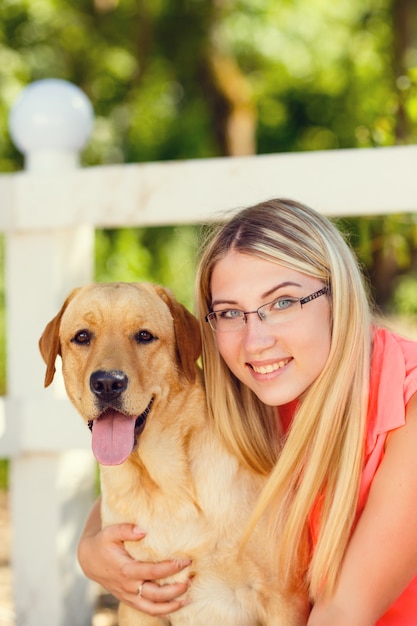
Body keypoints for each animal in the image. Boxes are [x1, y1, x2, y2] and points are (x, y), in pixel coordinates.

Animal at [38, 282, 306, 624]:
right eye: (82, 336)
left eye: (144, 336)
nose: (108, 383)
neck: (166, 486)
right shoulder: (138, 604)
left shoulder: (282, 598)